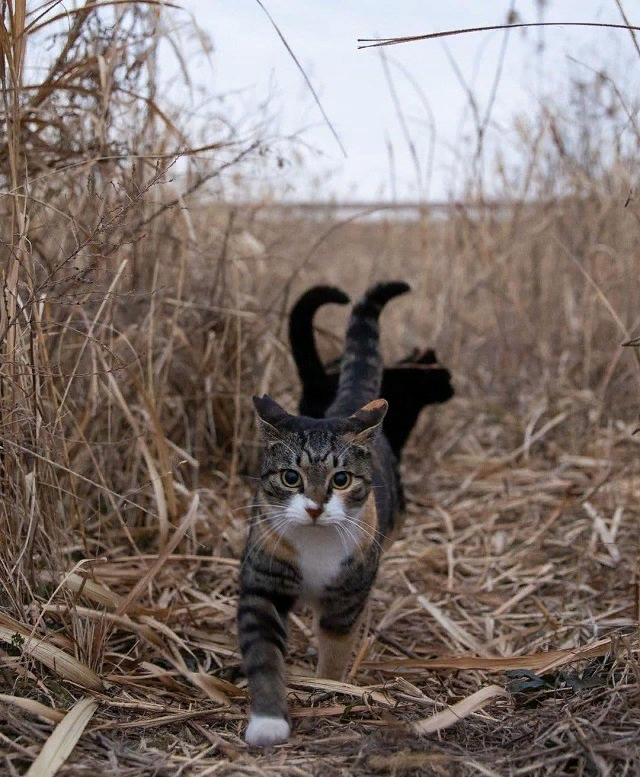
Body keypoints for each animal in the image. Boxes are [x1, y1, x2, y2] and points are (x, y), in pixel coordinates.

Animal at [238, 280, 408, 744]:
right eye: (291, 477)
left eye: (342, 479)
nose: (315, 506)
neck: (314, 544)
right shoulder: (263, 580)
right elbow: (264, 654)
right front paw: (268, 721)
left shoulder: (348, 592)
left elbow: (336, 645)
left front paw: (329, 687)